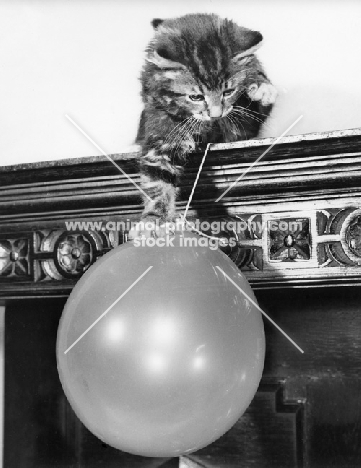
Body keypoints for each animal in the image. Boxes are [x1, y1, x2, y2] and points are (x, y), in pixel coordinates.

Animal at [135, 13, 276, 226]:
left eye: (228, 91)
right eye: (196, 97)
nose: (216, 114)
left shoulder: (248, 122)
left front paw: (259, 83)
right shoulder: (161, 132)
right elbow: (158, 181)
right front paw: (153, 220)